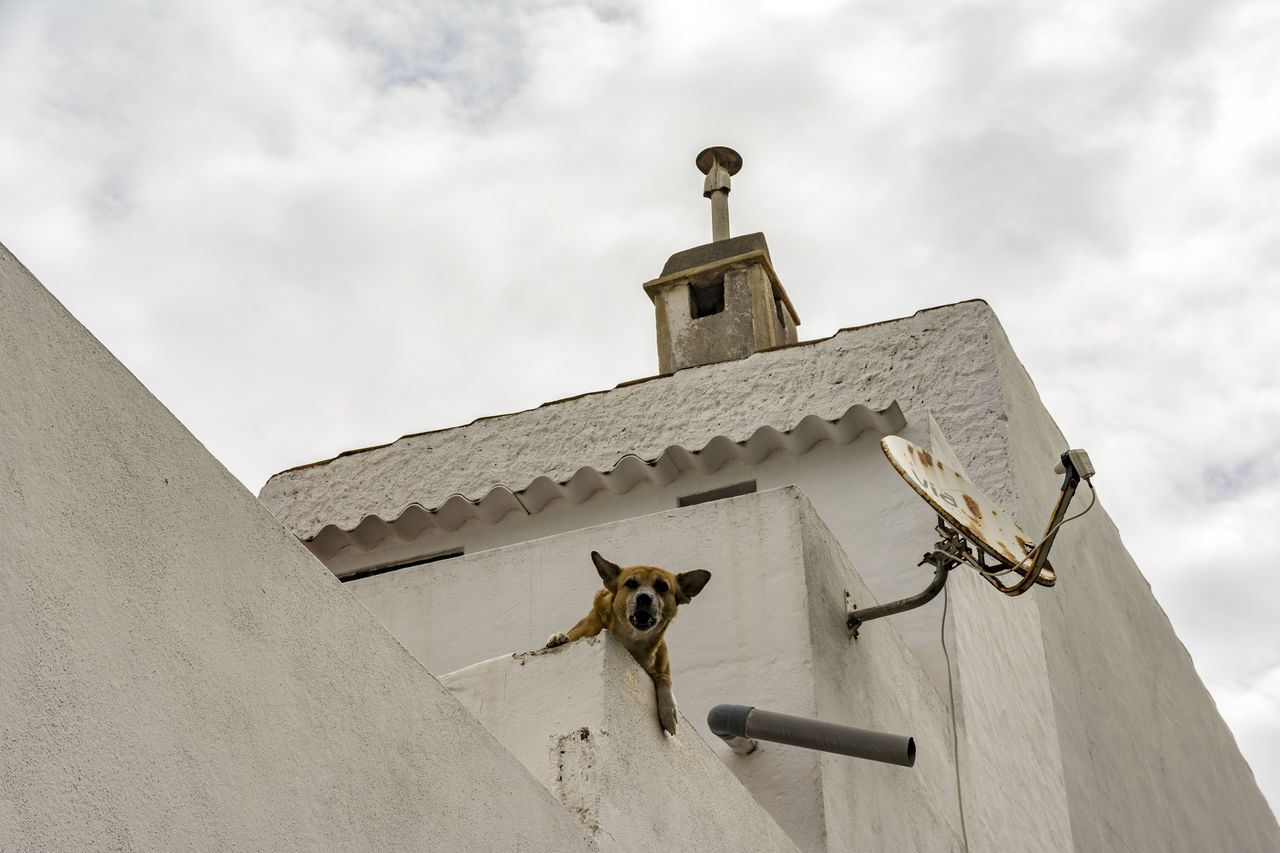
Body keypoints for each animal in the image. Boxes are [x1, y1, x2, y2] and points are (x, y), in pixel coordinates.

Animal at [545, 550, 716, 732]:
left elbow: (665, 678)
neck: (633, 641)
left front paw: (669, 711)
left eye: (662, 586)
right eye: (631, 583)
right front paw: (559, 637)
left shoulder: (661, 662)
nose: (644, 598)